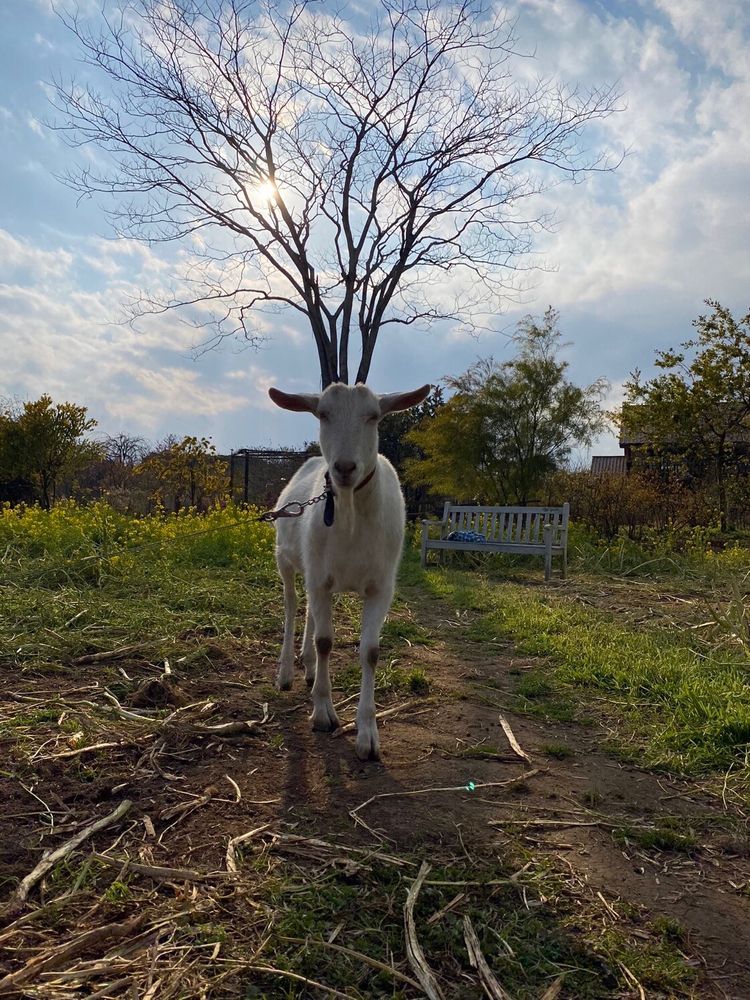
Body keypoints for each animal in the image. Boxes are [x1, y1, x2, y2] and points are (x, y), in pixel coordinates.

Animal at [268, 382, 431, 760]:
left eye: (373, 416)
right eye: (323, 414)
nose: (344, 467)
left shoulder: (380, 586)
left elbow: (370, 651)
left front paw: (368, 735)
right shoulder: (319, 577)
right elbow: (326, 641)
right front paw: (323, 713)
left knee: (309, 611)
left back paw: (308, 667)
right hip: (287, 560)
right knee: (293, 606)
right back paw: (287, 672)